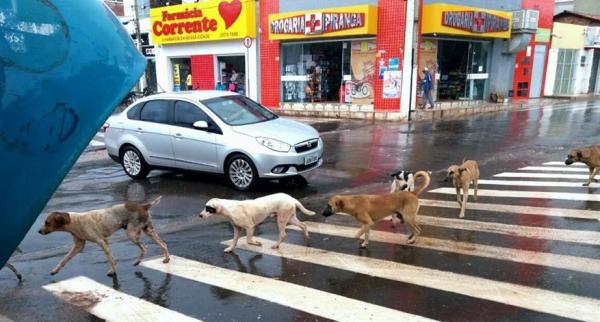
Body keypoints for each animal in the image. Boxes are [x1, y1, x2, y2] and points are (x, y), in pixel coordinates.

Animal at [38, 196, 169, 276]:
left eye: (47, 222)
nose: (39, 231)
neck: (74, 221)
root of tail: (143, 206)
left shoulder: (101, 241)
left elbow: (110, 258)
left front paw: (112, 271)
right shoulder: (79, 246)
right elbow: (64, 259)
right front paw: (55, 270)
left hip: (132, 234)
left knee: (144, 247)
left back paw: (138, 261)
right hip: (149, 230)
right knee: (163, 244)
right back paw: (167, 259)